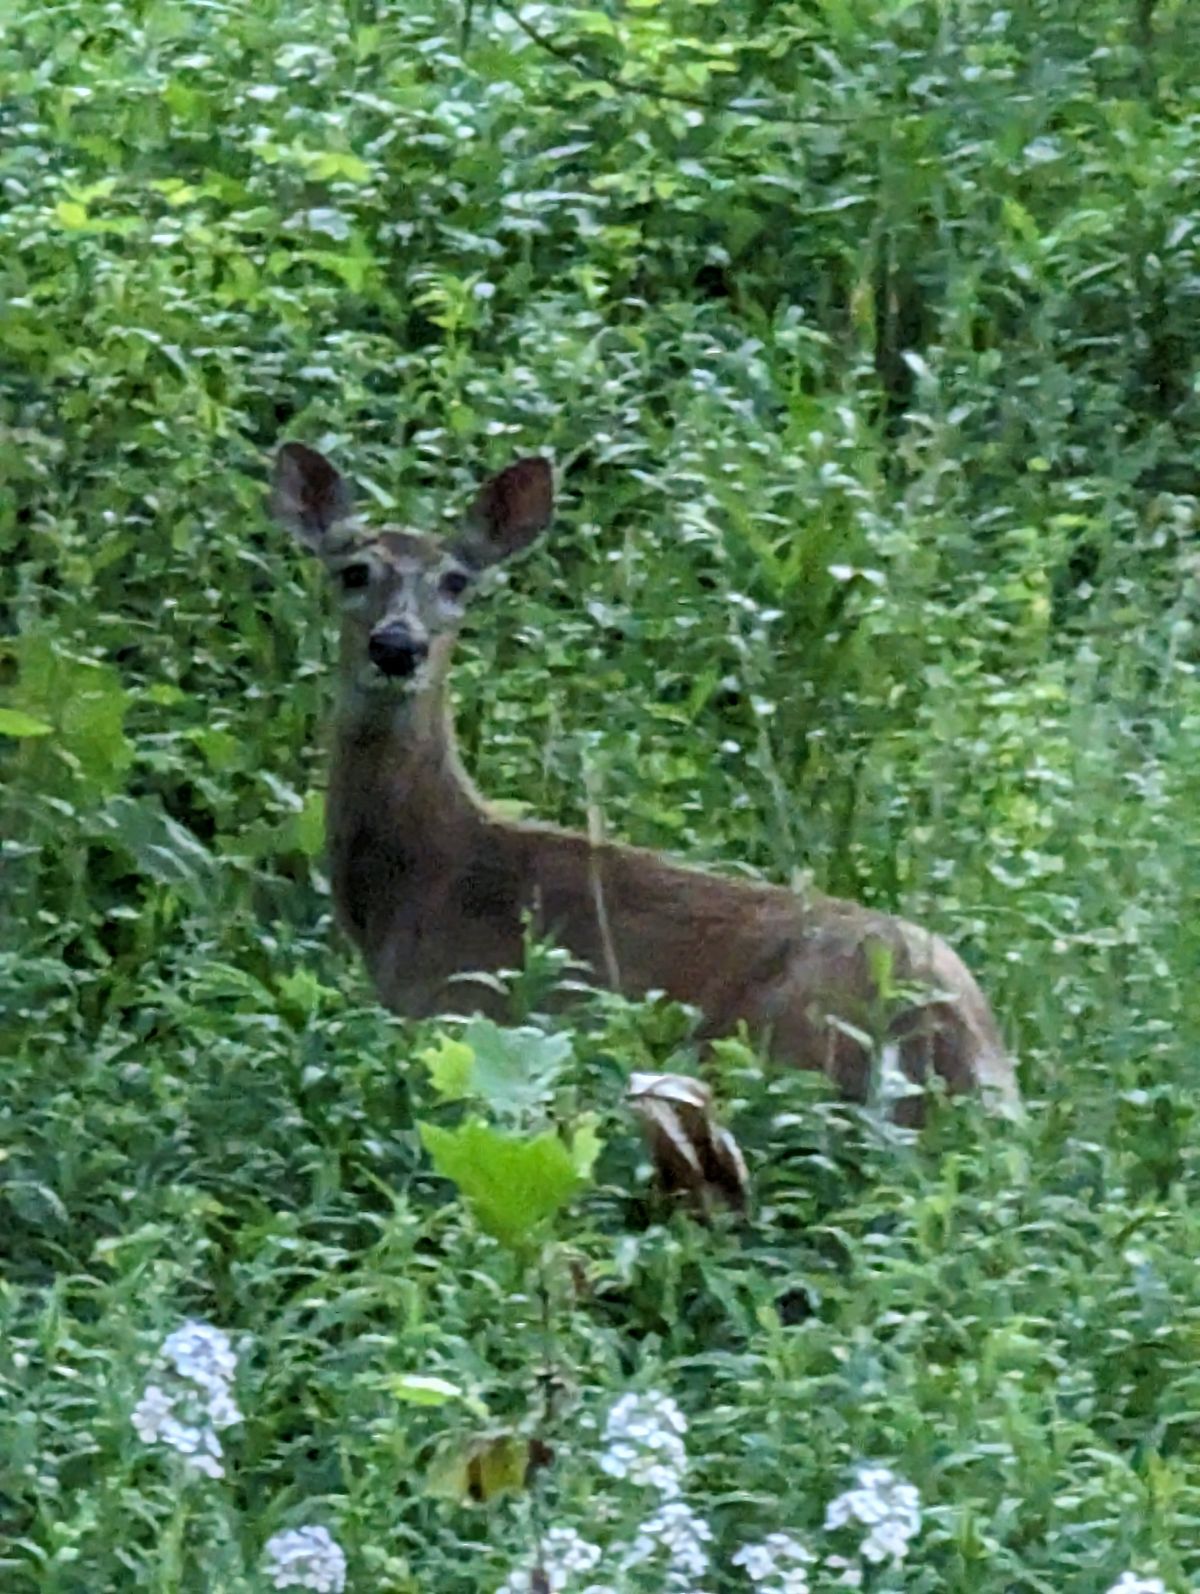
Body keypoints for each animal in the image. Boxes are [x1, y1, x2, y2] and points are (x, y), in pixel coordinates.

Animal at [269, 443, 1019, 1128]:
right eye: (354, 570)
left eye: (457, 582)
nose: (398, 647)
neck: (425, 878)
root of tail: (947, 1035)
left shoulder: (463, 1008)